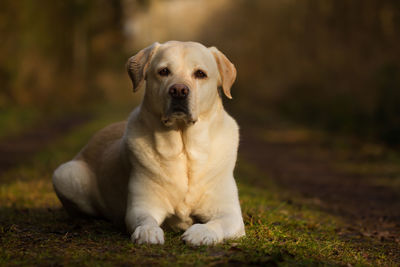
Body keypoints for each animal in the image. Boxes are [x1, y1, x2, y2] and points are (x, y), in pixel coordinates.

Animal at [52, 40, 247, 246]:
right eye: (164, 71)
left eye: (200, 74)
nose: (179, 90)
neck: (184, 149)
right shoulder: (141, 206)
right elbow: (144, 219)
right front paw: (148, 232)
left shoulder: (230, 214)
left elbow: (217, 223)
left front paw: (201, 233)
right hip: (65, 174)